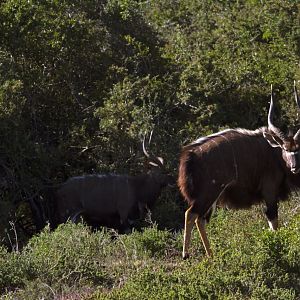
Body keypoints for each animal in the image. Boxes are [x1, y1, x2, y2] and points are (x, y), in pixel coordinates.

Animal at [179, 82, 300, 260]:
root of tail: (190, 155)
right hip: (209, 193)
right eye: (285, 149)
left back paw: (211, 256)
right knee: (191, 214)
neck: (274, 153)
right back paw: (186, 255)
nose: (294, 167)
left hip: (211, 198)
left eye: (298, 149)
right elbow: (274, 221)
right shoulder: (270, 192)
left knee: (200, 219)